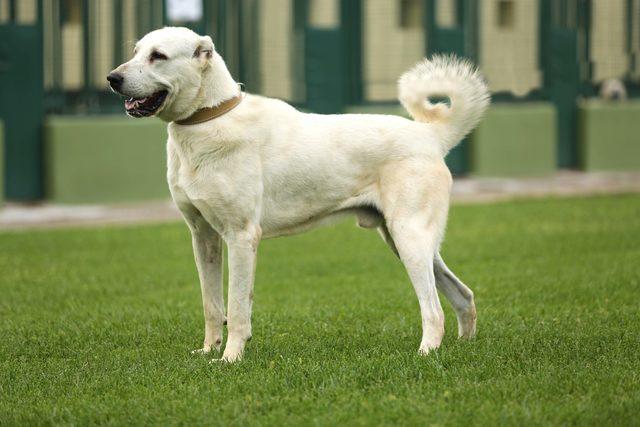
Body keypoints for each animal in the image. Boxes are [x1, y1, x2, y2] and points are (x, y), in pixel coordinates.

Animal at [109, 26, 490, 362]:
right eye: (135, 52)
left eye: (158, 56)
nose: (112, 78)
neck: (207, 118)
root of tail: (431, 135)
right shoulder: (203, 237)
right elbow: (213, 305)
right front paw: (208, 352)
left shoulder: (242, 237)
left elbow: (237, 307)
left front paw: (230, 359)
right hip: (405, 241)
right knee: (463, 295)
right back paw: (464, 346)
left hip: (409, 238)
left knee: (434, 310)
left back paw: (425, 354)